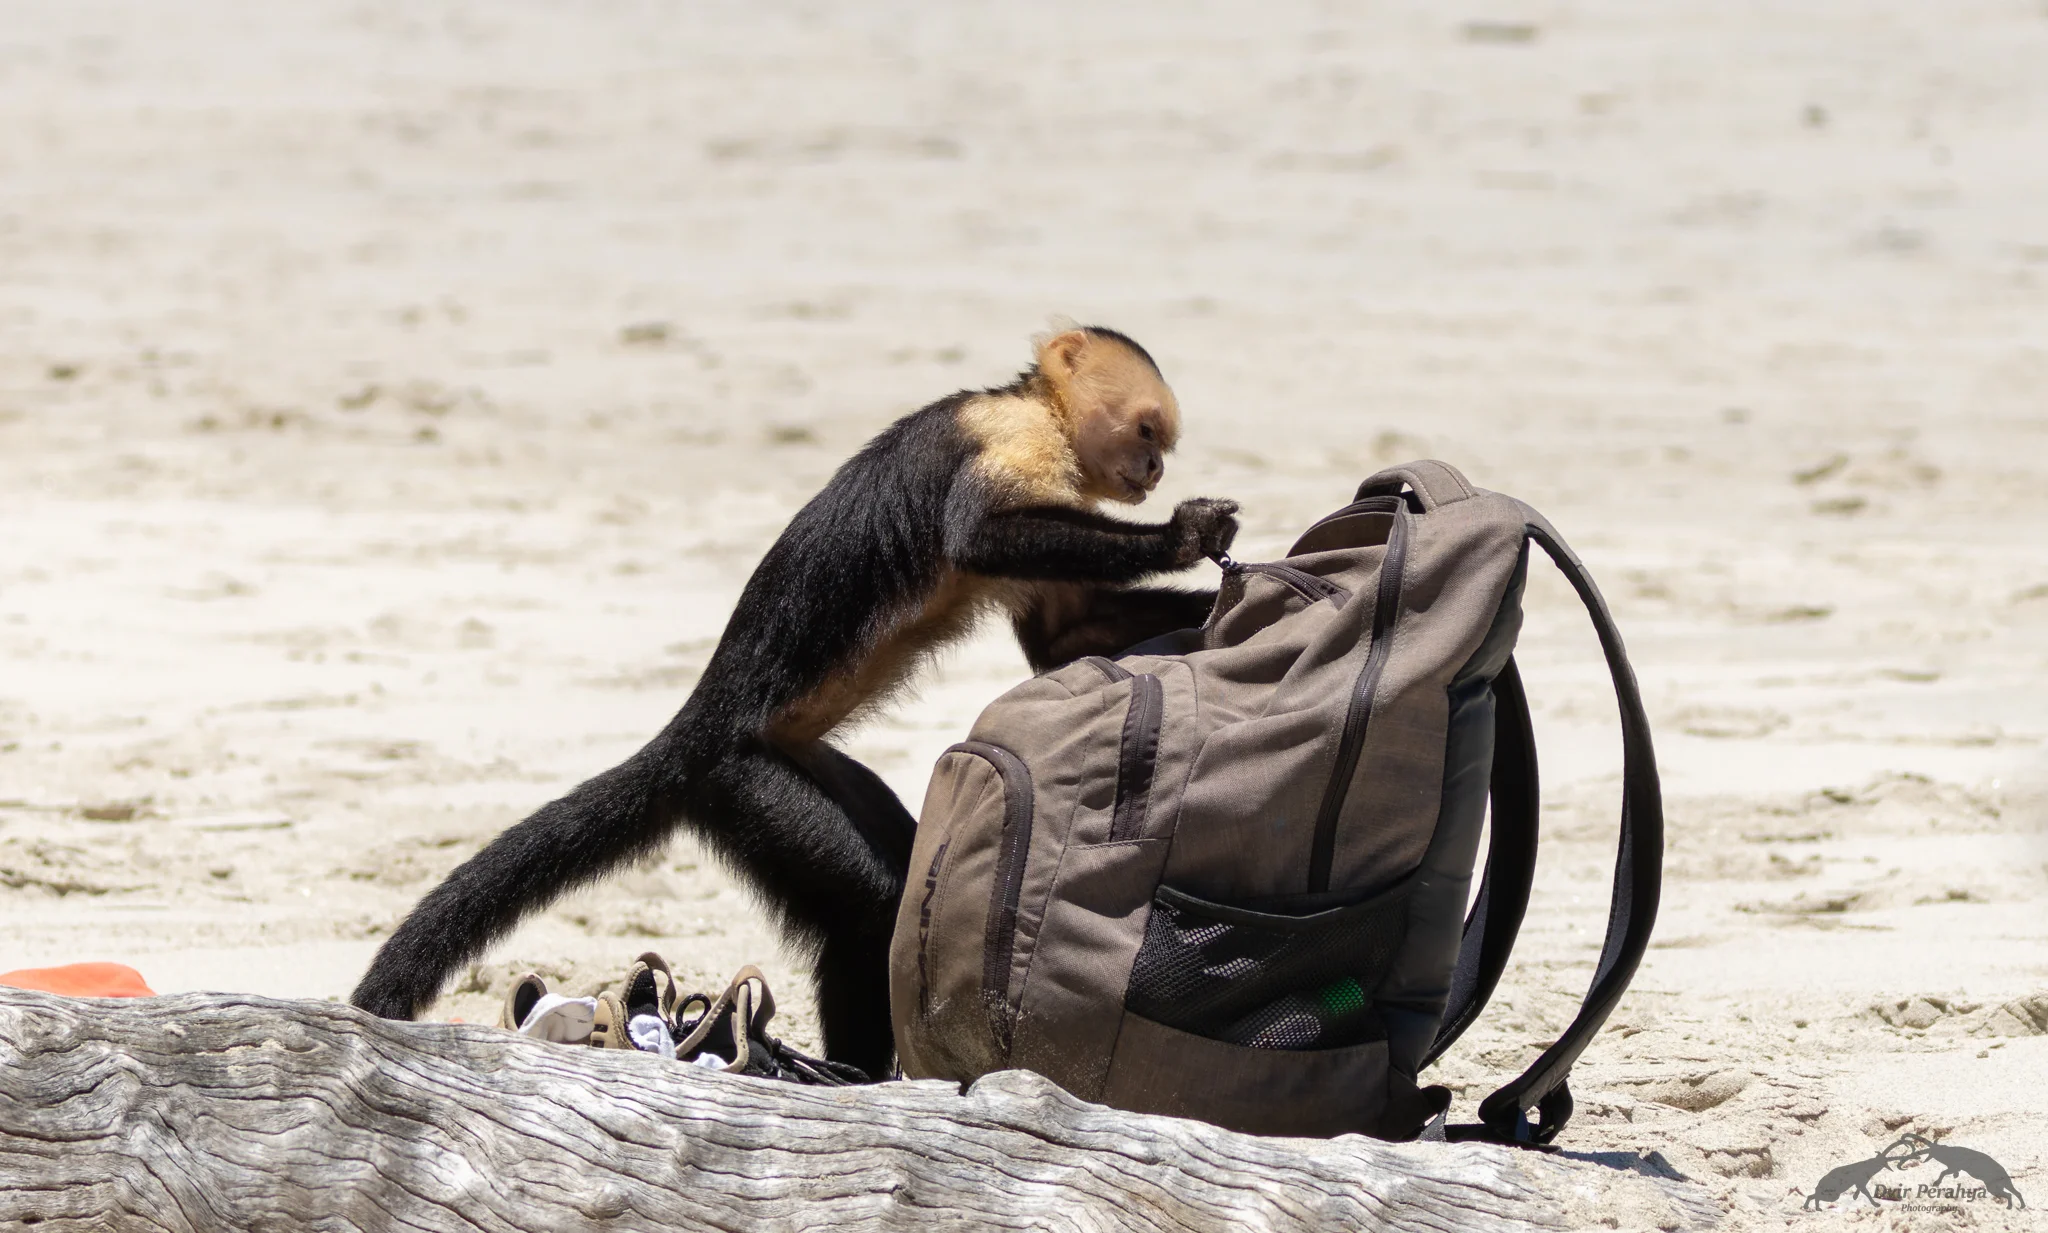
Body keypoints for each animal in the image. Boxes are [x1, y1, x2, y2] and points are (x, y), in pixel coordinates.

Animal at [350, 325, 1238, 1078]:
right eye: (1147, 434)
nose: (1154, 474)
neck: (1037, 407)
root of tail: (696, 727)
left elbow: (1067, 633)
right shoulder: (1010, 437)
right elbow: (979, 535)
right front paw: (1183, 536)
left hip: (791, 766)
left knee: (893, 871)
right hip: (746, 782)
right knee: (869, 902)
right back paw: (851, 1072)